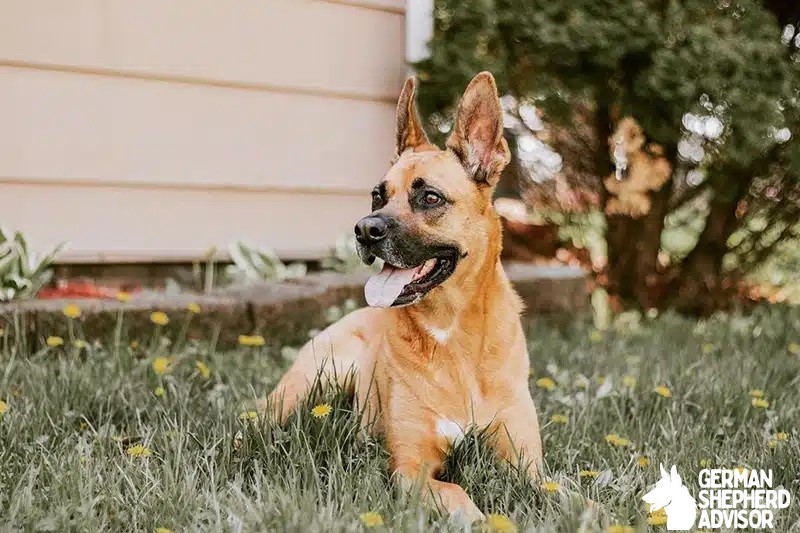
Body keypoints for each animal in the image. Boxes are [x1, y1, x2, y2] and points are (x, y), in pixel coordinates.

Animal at [268, 70, 544, 520]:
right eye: (377, 195)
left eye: (429, 197)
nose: (364, 230)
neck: (452, 335)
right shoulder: (411, 471)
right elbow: (458, 494)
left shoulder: (529, 468)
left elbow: (571, 495)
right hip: (308, 383)